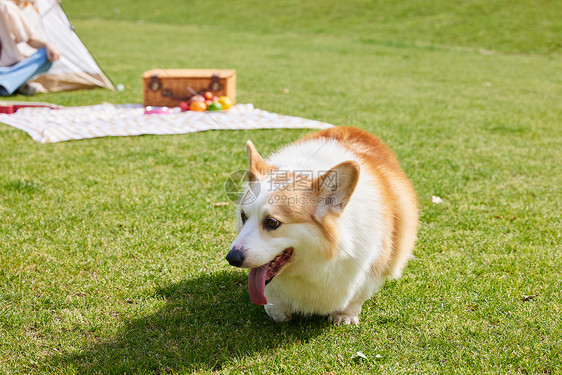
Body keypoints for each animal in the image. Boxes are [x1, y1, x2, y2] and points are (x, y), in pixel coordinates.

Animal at [224, 127, 416, 326]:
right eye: (243, 216)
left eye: (272, 222)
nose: (232, 258)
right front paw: (277, 310)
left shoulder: (374, 265)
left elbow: (358, 295)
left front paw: (345, 316)